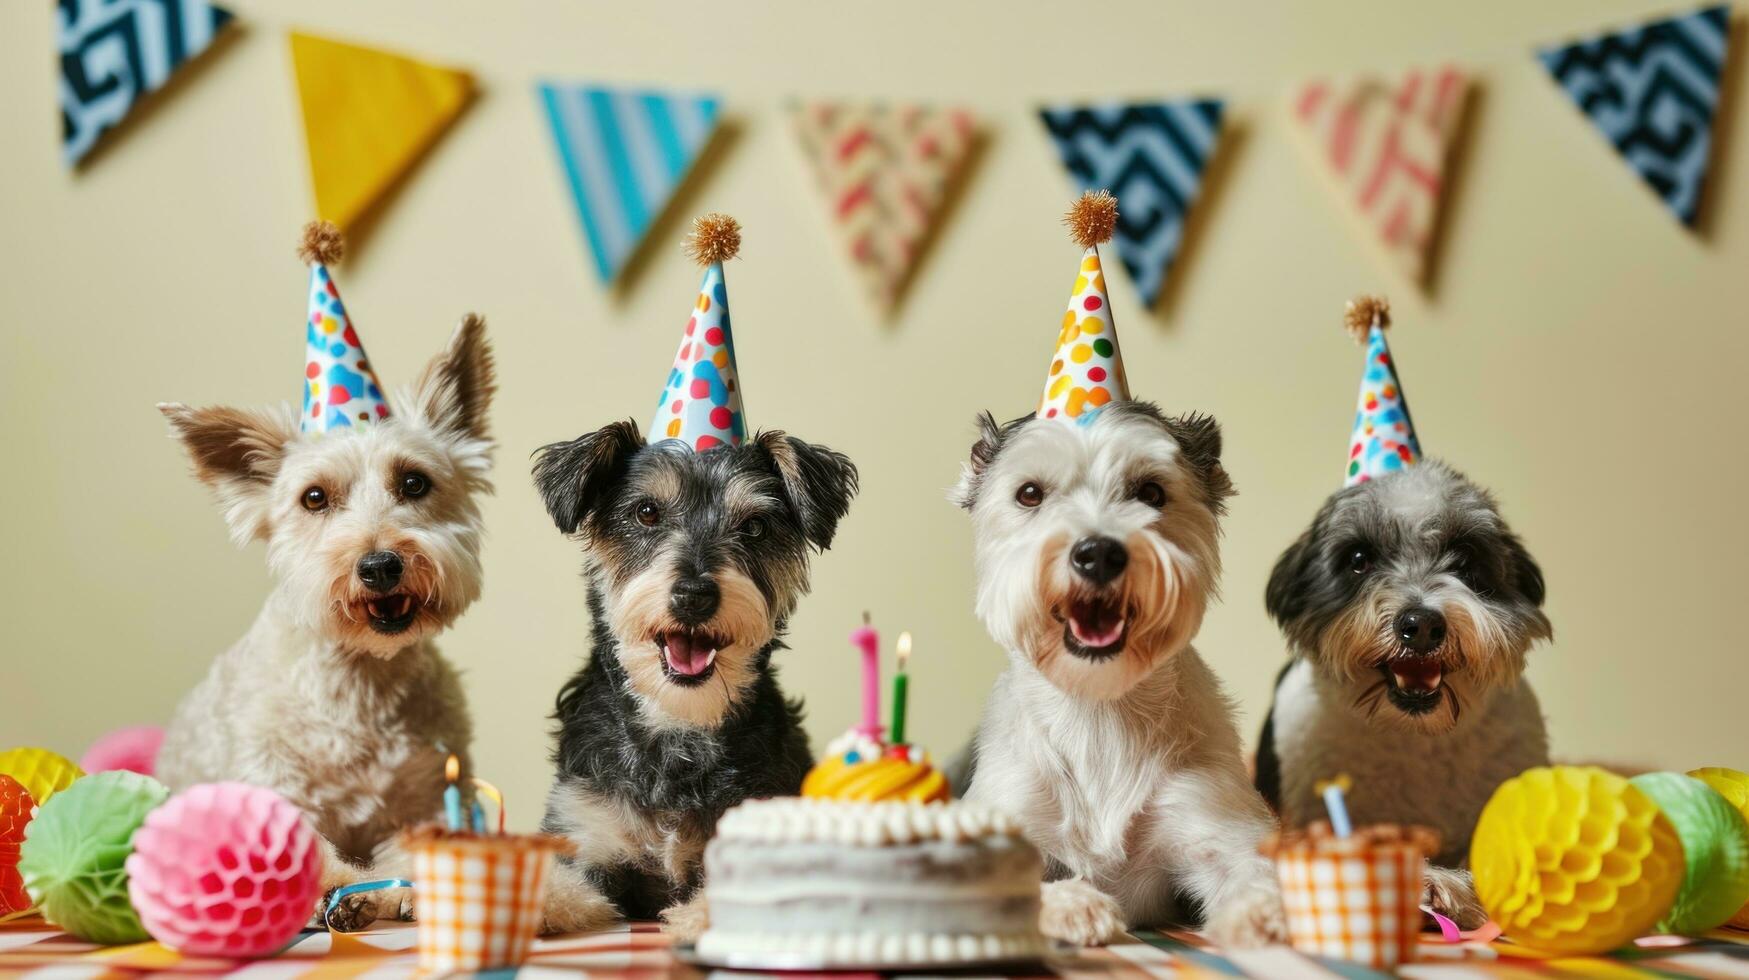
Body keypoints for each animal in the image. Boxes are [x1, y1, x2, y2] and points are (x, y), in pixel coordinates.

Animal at [153, 224, 496, 931]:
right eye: (313, 498)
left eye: (414, 482)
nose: (379, 564)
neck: (360, 680)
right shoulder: (273, 784)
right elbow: (301, 845)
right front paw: (337, 889)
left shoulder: (430, 791)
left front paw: (404, 887)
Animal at [958, 191, 1287, 952]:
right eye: (1029, 494)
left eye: (1151, 492)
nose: (1098, 552)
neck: (1098, 714)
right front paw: (1073, 905)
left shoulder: (1210, 818)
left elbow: (1253, 870)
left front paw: (1264, 913)